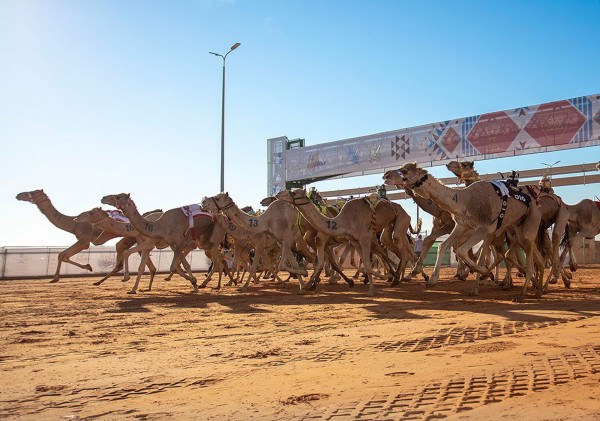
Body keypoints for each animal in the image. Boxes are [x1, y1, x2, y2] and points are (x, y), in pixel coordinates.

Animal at [276, 189, 420, 294]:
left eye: (294, 193)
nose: (278, 194)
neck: (342, 220)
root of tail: (401, 208)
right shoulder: (353, 240)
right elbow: (361, 263)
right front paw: (308, 285)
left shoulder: (364, 237)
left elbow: (367, 265)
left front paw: (371, 288)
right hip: (387, 228)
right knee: (392, 249)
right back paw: (398, 276)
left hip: (401, 219)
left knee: (402, 252)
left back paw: (399, 277)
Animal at [396, 162, 548, 300]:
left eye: (405, 170)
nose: (394, 176)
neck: (463, 200)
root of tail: (534, 202)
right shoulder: (462, 226)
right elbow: (443, 246)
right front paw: (432, 280)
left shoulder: (485, 229)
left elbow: (464, 251)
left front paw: (482, 275)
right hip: (518, 226)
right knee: (537, 258)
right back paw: (538, 290)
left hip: (531, 220)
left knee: (528, 257)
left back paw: (522, 293)